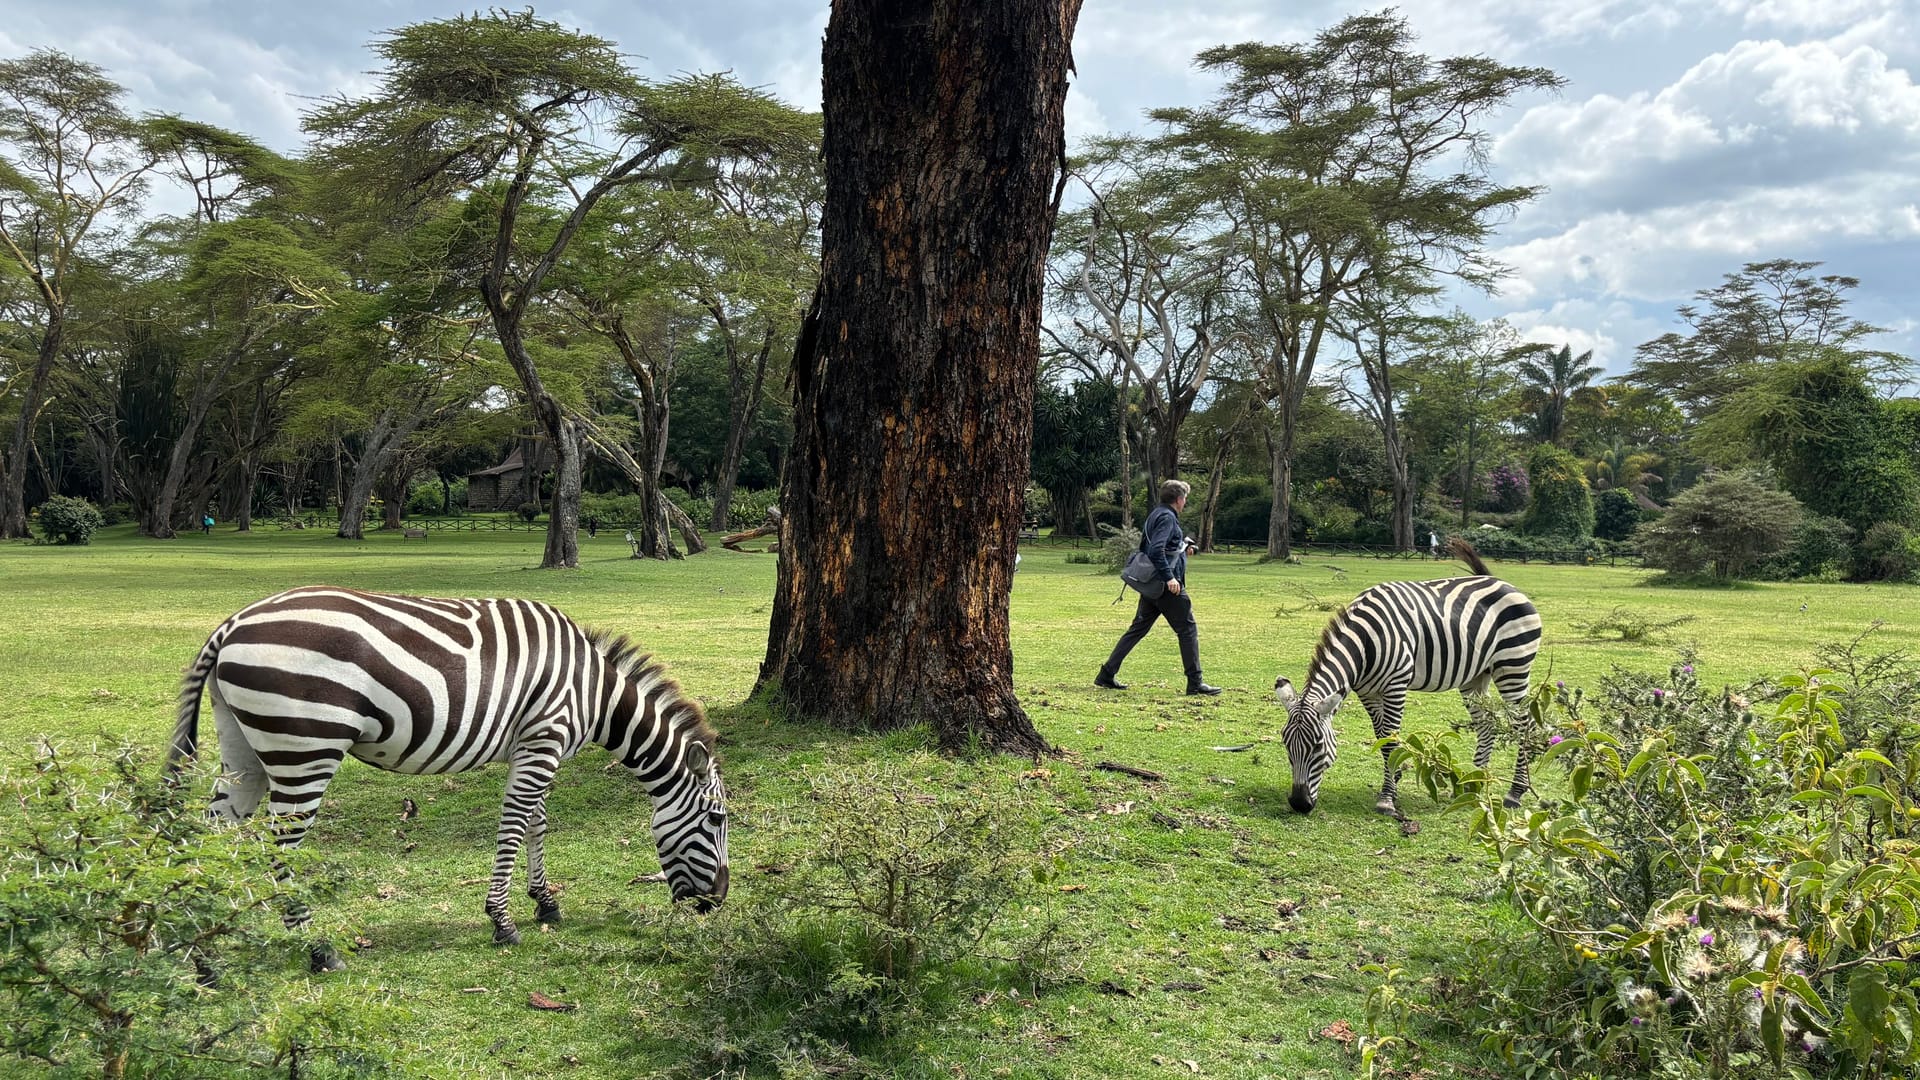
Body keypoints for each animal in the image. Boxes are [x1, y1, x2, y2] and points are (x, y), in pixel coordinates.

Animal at [165, 584, 729, 972]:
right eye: (718, 819)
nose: (716, 903)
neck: (595, 694)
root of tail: (232, 623)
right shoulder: (544, 740)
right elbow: (516, 825)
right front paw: (502, 922)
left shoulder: (533, 747)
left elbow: (538, 824)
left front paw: (545, 903)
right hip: (305, 747)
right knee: (281, 847)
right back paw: (317, 949)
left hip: (243, 745)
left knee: (213, 829)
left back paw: (204, 956)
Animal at [1274, 541, 1543, 810]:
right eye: (1286, 744)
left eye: (1318, 747)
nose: (1299, 804)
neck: (1365, 645)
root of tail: (1502, 583)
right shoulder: (1368, 693)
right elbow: (1382, 739)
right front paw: (1393, 783)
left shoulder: (1396, 685)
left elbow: (1391, 740)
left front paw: (1386, 799)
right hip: (1475, 677)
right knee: (1486, 724)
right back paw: (1472, 785)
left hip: (1513, 665)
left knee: (1524, 725)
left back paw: (1515, 792)